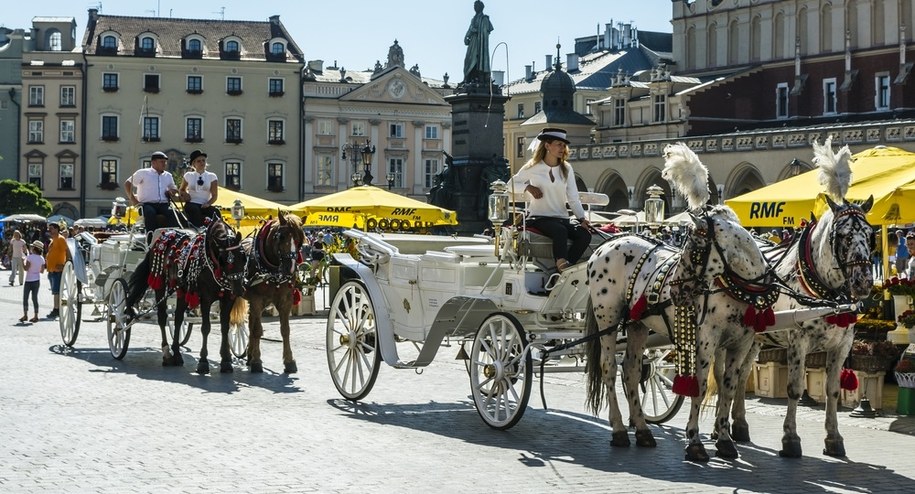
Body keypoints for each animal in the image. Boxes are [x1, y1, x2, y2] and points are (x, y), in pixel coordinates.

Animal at [234, 214, 306, 372]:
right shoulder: (257, 299)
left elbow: (285, 330)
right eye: (281, 237)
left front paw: (289, 361)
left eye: (300, 239)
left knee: (251, 322)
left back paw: (249, 355)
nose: (290, 268)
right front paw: (257, 361)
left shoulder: (286, 300)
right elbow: (257, 330)